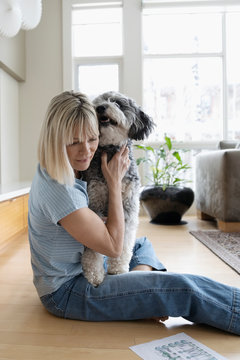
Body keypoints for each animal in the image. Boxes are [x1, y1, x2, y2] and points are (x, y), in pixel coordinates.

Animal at [81, 91, 155, 286]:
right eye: (97, 102)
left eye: (118, 103)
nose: (100, 107)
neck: (110, 151)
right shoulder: (94, 203)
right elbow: (91, 249)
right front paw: (94, 275)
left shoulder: (127, 206)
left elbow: (124, 241)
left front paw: (118, 269)